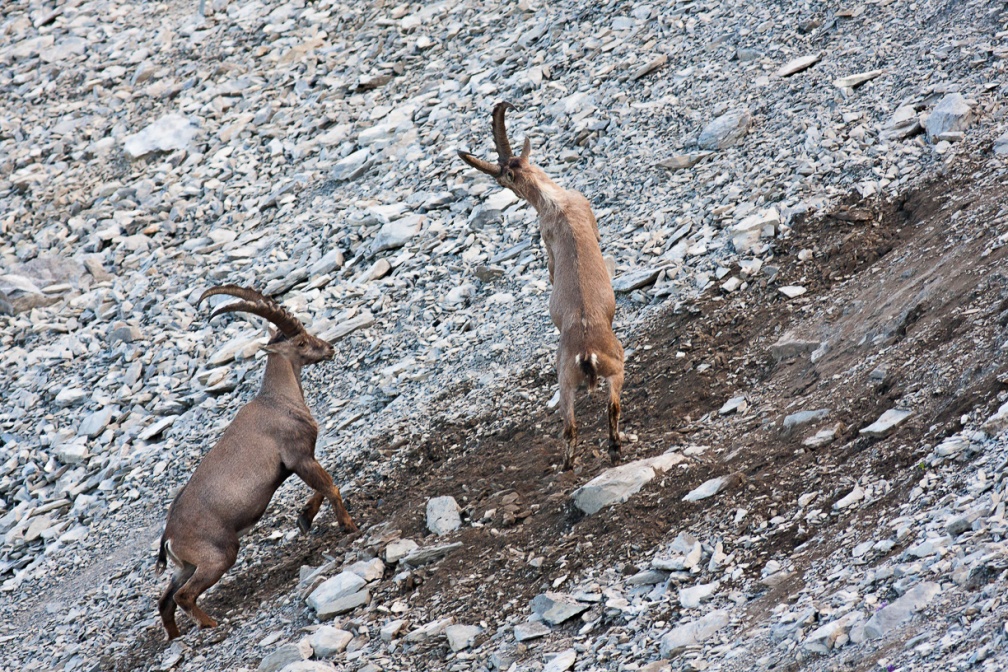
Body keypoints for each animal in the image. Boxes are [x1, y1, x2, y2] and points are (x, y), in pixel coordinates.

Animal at [156, 285, 357, 640]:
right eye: (300, 342)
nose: (329, 348)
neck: (277, 401)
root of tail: (169, 537)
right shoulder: (299, 456)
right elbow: (330, 487)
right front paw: (348, 525)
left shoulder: (299, 462)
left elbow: (321, 489)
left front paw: (304, 519)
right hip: (218, 556)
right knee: (182, 596)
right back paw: (210, 623)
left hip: (187, 565)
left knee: (165, 600)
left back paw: (177, 636)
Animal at [458, 102, 625, 470]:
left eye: (502, 177)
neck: (554, 200)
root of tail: (587, 353)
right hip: (603, 372)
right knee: (598, 414)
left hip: (576, 380)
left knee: (581, 422)